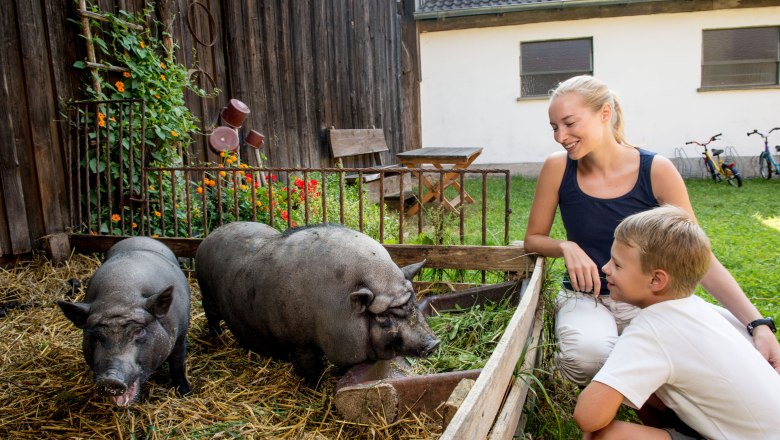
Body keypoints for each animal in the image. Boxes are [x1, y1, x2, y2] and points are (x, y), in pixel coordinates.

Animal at [57, 237, 191, 406]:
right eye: (95, 335)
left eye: (139, 331)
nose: (110, 379)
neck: (120, 293)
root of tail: (139, 237)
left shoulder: (180, 335)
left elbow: (177, 364)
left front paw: (186, 393)